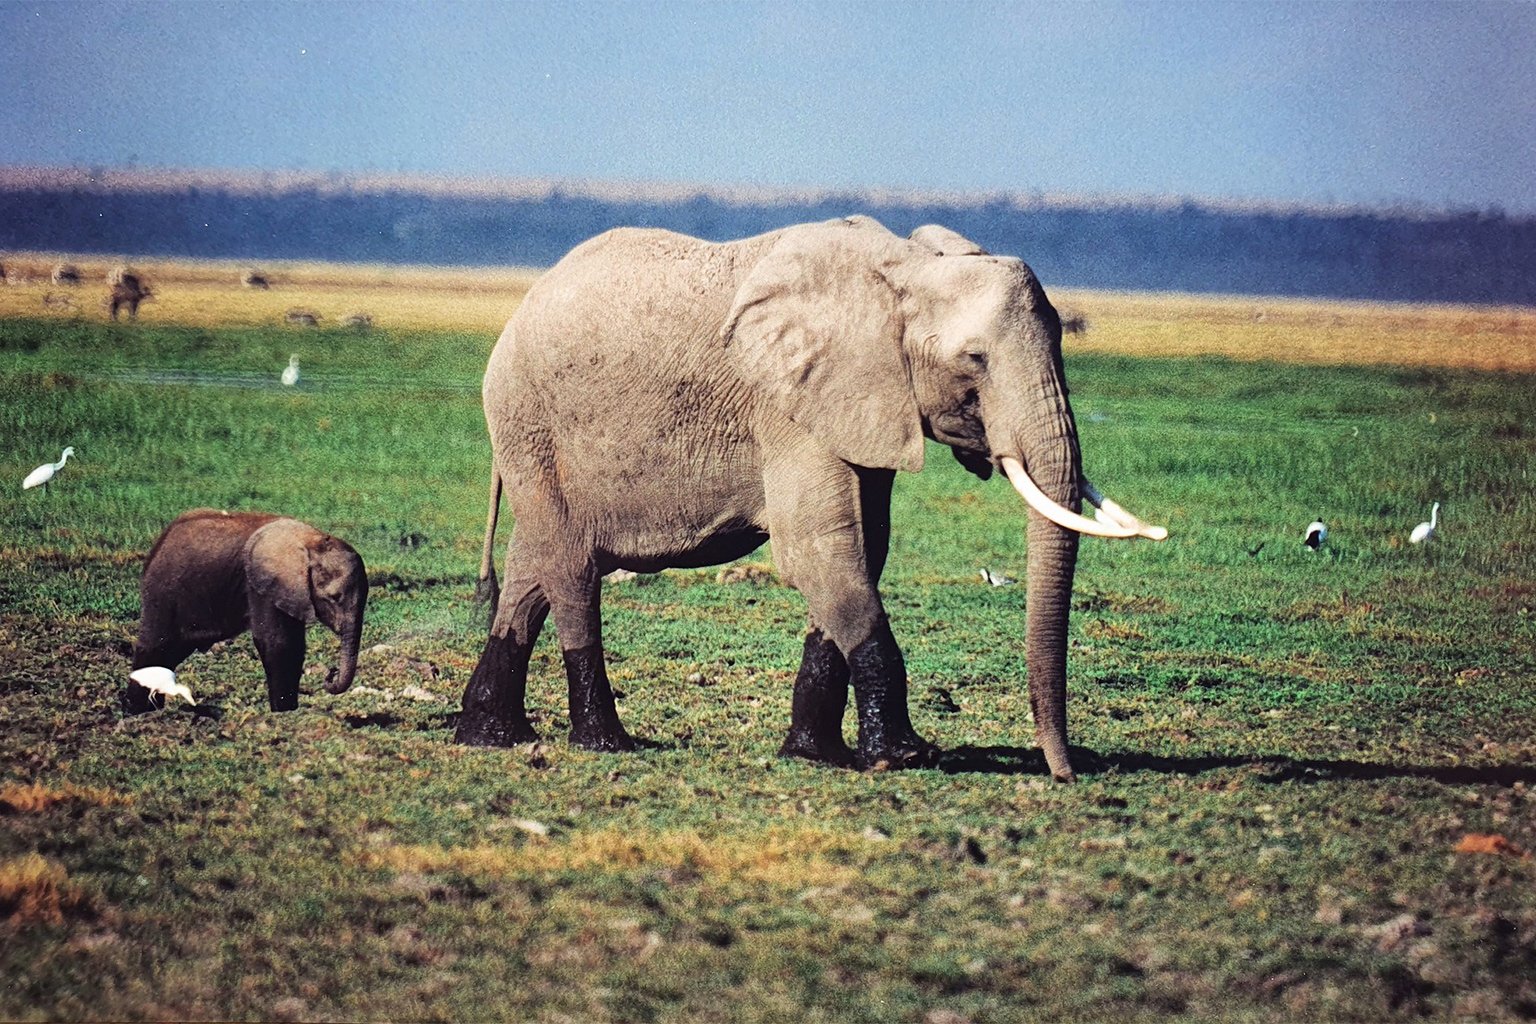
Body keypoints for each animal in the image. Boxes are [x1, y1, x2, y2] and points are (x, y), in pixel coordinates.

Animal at [128, 509, 368, 712]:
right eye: (335, 598)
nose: (331, 673)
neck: (312, 541)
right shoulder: (261, 585)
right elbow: (278, 643)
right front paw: (283, 713)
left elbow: (294, 645)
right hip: (162, 592)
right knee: (155, 647)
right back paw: (138, 713)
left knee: (170, 653)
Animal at [457, 214, 1161, 776]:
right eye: (975, 360)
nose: (1066, 773)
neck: (905, 270)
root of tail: (520, 308)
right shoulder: (787, 407)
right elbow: (818, 552)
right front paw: (903, 756)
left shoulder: (865, 404)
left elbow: (863, 552)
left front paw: (815, 755)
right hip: (529, 421)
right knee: (571, 571)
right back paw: (604, 743)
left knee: (533, 568)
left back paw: (488, 736)